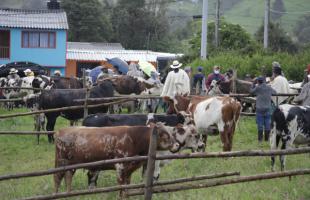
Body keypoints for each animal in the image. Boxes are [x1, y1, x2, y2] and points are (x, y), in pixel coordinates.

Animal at [54, 122, 186, 196]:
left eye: (172, 133)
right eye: (165, 135)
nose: (177, 145)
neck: (134, 138)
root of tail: (61, 130)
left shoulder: (129, 170)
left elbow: (127, 186)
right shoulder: (120, 166)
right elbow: (121, 186)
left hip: (71, 164)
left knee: (68, 177)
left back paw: (69, 194)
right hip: (61, 162)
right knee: (57, 178)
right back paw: (56, 194)